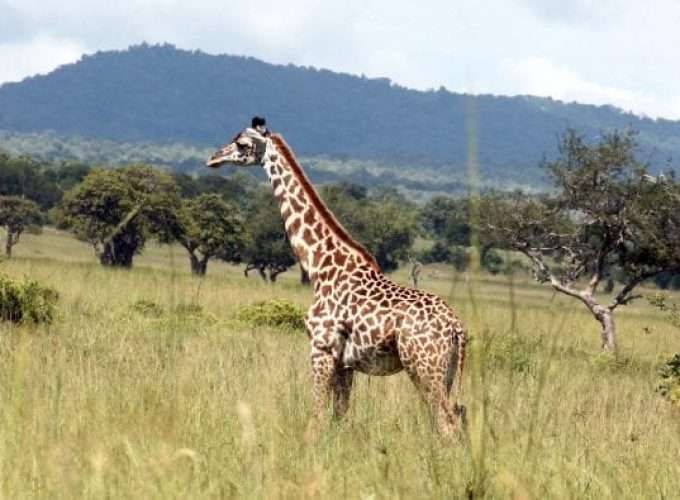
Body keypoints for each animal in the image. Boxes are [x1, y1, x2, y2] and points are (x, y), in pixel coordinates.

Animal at [207, 117, 468, 438]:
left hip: (424, 366)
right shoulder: (346, 364)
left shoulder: (321, 349)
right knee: (453, 418)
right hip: (445, 372)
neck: (320, 265)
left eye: (242, 144)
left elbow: (316, 416)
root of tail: (457, 327)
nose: (213, 158)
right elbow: (339, 416)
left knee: (447, 423)